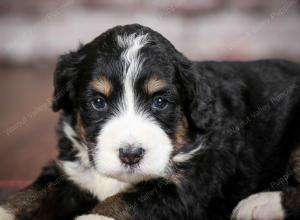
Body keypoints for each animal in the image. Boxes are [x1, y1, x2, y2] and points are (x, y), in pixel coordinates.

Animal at [0, 23, 300, 219]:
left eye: (160, 102)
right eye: (98, 102)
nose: (130, 155)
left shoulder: (185, 187)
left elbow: (127, 201)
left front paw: (93, 217)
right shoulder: (71, 171)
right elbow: (30, 195)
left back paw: (258, 205)